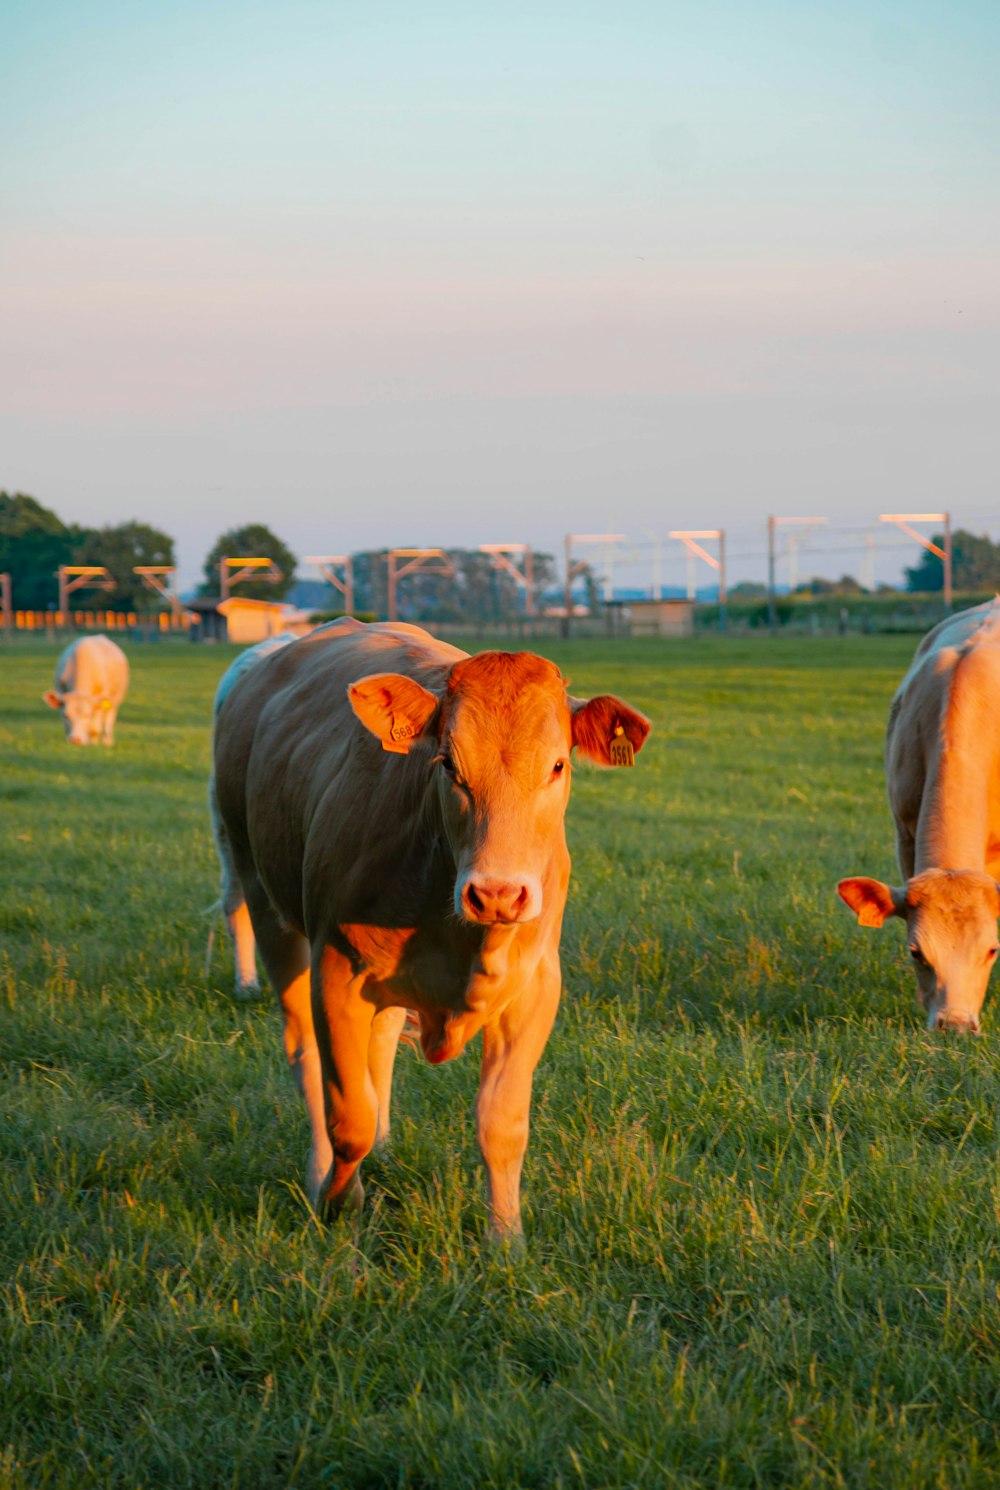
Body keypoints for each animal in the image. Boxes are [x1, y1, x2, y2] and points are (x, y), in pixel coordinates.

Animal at [211, 616, 652, 1233]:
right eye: (447, 764)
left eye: (558, 765)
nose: (497, 894)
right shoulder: (334, 971)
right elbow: (347, 1116)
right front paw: (338, 1201)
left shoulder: (535, 988)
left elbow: (501, 1124)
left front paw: (506, 1239)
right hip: (263, 896)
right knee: (306, 1057)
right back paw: (320, 1170)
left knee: (381, 1047)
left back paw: (387, 1146)